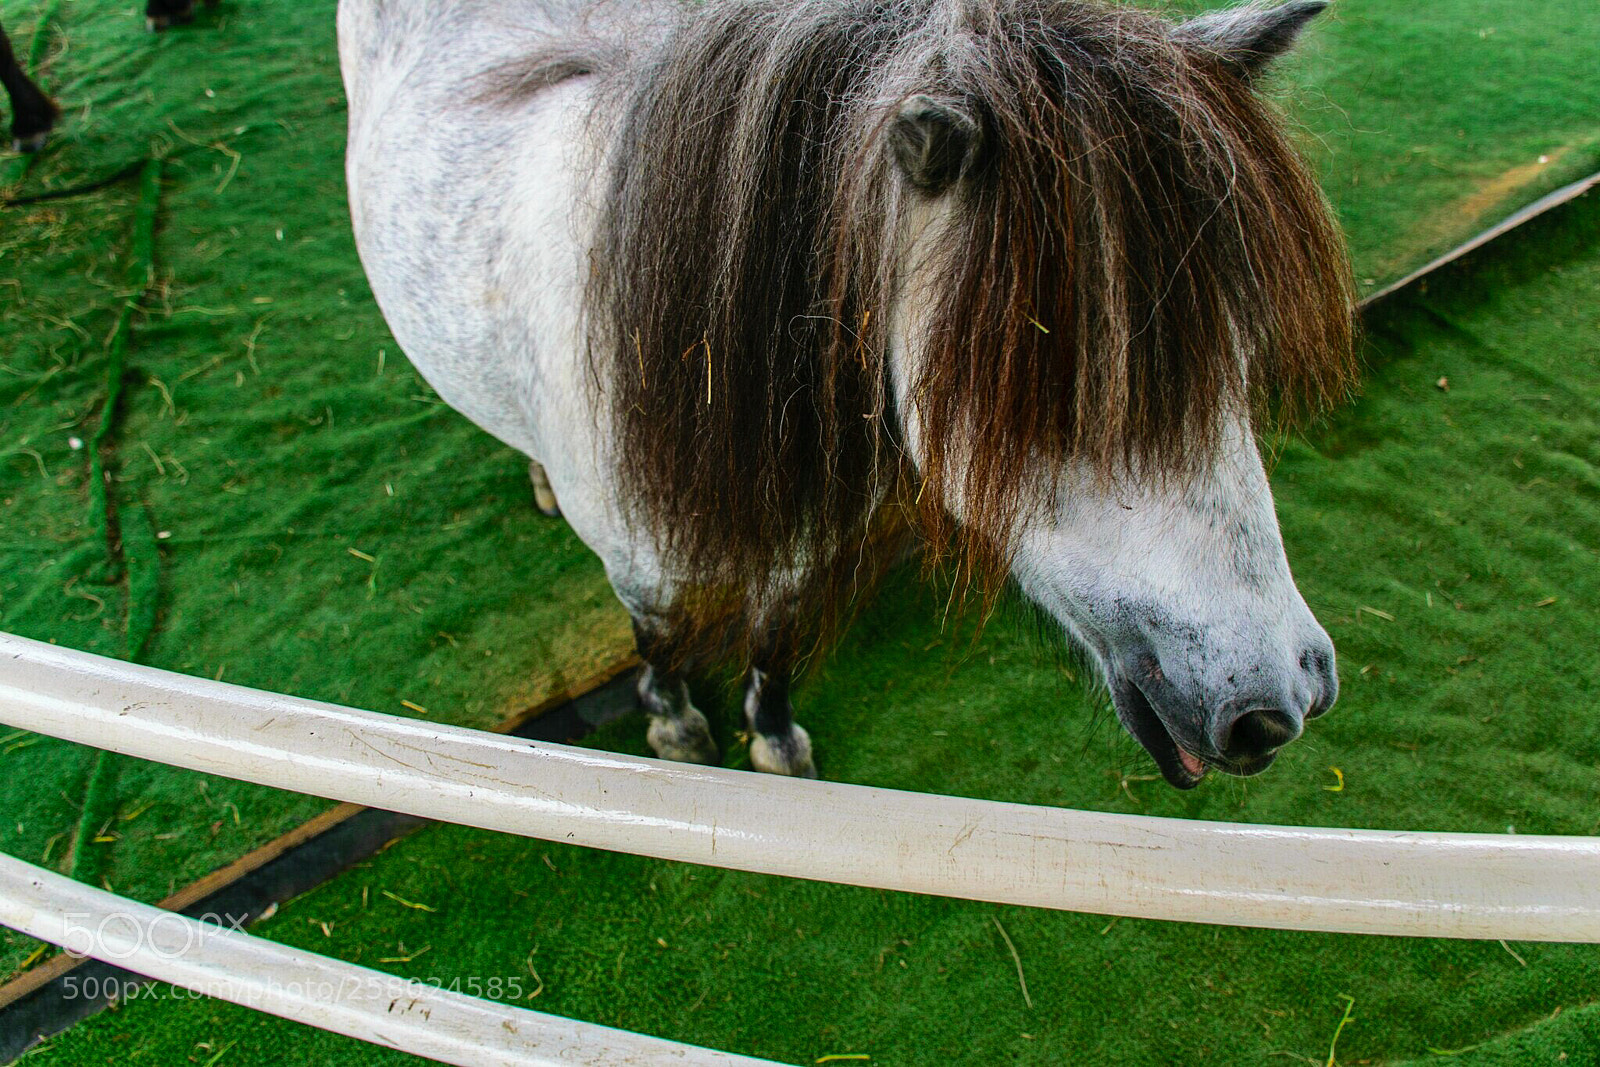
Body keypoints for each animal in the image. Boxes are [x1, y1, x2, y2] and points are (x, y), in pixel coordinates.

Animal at [339, 0, 1356, 789]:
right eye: (1053, 387)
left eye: (1240, 350)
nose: (1287, 697)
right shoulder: (640, 564)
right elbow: (659, 635)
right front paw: (675, 725)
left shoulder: (799, 544)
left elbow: (775, 630)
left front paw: (774, 735)